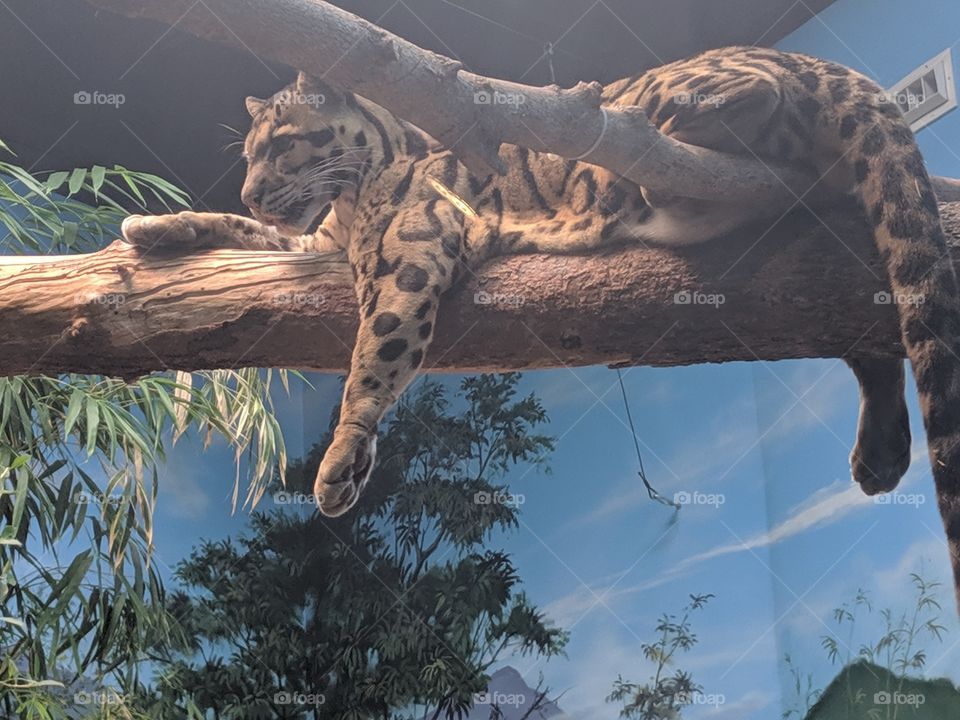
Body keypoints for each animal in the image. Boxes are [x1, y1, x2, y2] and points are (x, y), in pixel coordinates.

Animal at [121, 46, 960, 608]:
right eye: (250, 155)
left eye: (283, 143)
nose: (253, 188)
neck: (349, 208)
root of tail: (807, 54)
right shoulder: (313, 245)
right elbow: (242, 234)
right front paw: (151, 227)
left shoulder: (411, 258)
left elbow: (374, 358)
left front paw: (340, 463)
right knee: (869, 342)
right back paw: (881, 456)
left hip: (684, 114)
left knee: (732, 103)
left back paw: (686, 110)